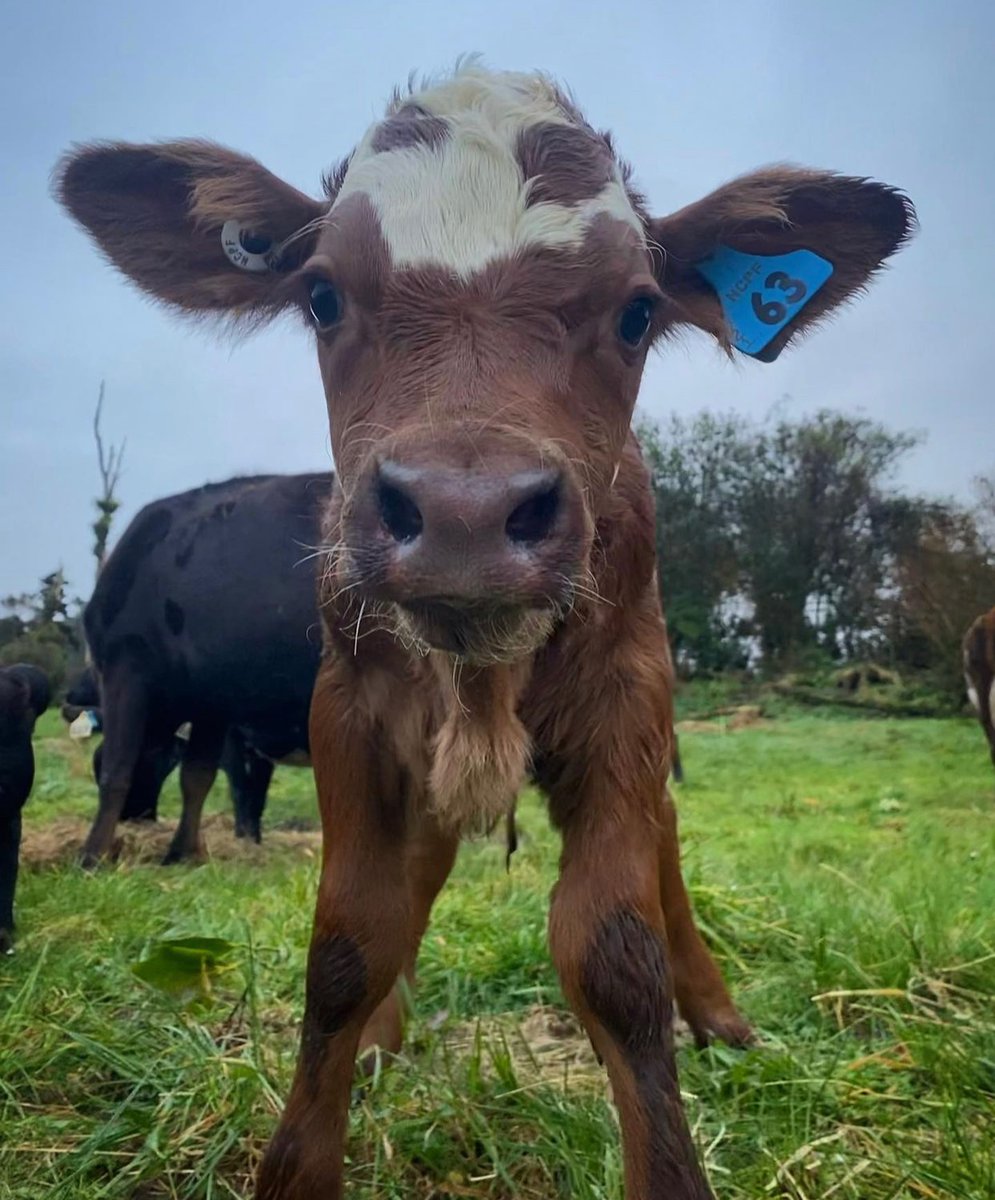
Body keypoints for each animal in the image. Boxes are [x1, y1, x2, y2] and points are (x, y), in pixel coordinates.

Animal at [69, 473, 329, 866]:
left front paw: (92, 856)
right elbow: (197, 776)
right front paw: (184, 853)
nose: (137, 817)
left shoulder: (123, 666)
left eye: (94, 763)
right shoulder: (212, 699)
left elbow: (118, 767)